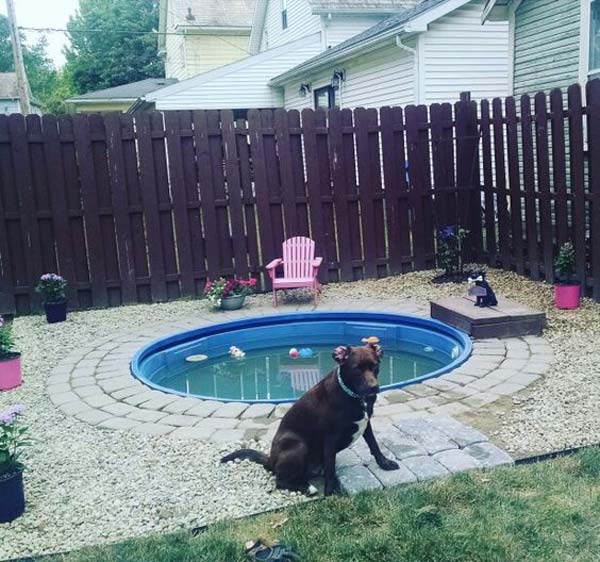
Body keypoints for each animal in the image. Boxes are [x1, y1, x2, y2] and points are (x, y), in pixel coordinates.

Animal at [220, 342, 398, 494]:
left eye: (375, 366)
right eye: (356, 369)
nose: (374, 387)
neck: (353, 395)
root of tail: (270, 459)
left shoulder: (365, 422)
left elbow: (374, 445)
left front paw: (385, 463)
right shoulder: (330, 437)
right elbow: (330, 469)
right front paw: (330, 493)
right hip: (298, 446)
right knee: (280, 482)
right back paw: (306, 488)